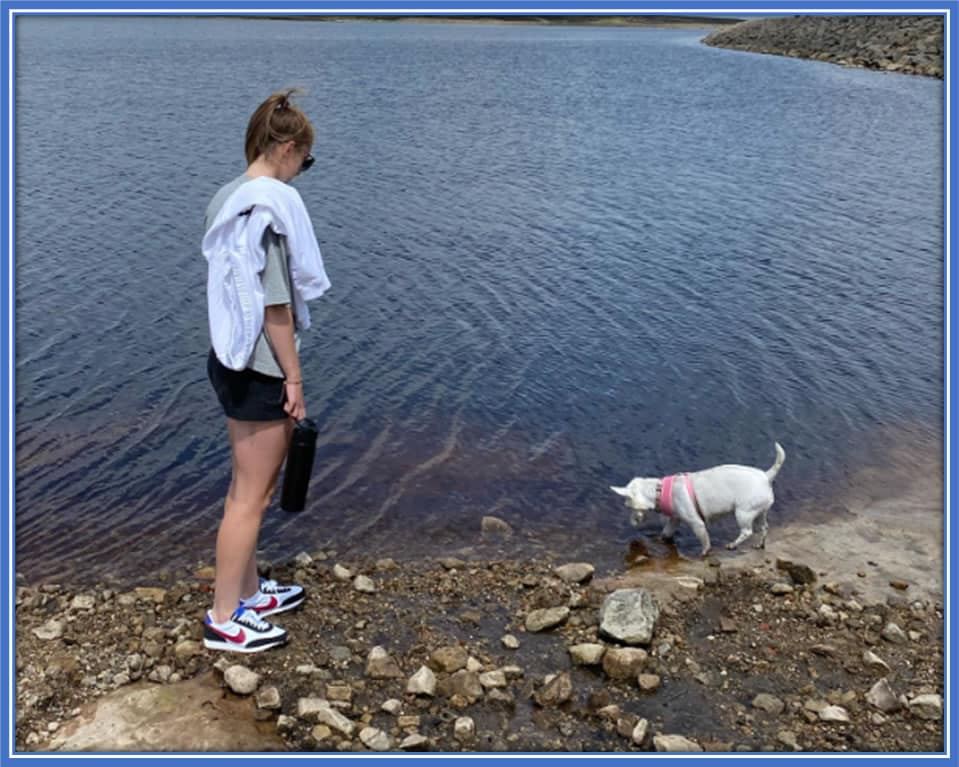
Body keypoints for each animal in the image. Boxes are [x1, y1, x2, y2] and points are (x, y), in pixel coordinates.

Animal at [616, 444, 788, 560]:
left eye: (629, 507)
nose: (631, 523)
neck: (660, 490)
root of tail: (766, 476)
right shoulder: (674, 519)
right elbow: (666, 533)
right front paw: (658, 540)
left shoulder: (696, 523)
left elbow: (704, 540)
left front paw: (704, 553)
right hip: (759, 512)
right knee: (764, 528)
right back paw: (760, 544)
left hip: (743, 513)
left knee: (747, 531)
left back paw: (733, 544)